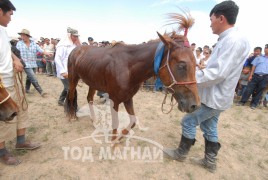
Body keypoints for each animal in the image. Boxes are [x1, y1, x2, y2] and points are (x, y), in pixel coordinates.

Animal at [66, 13, 200, 141]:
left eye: (196, 64)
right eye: (182, 65)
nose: (195, 105)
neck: (128, 68)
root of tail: (76, 49)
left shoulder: (128, 98)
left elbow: (133, 121)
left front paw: (120, 137)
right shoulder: (114, 99)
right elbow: (116, 123)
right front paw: (113, 141)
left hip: (92, 82)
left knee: (89, 98)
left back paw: (94, 120)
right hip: (73, 78)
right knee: (71, 94)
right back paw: (71, 116)